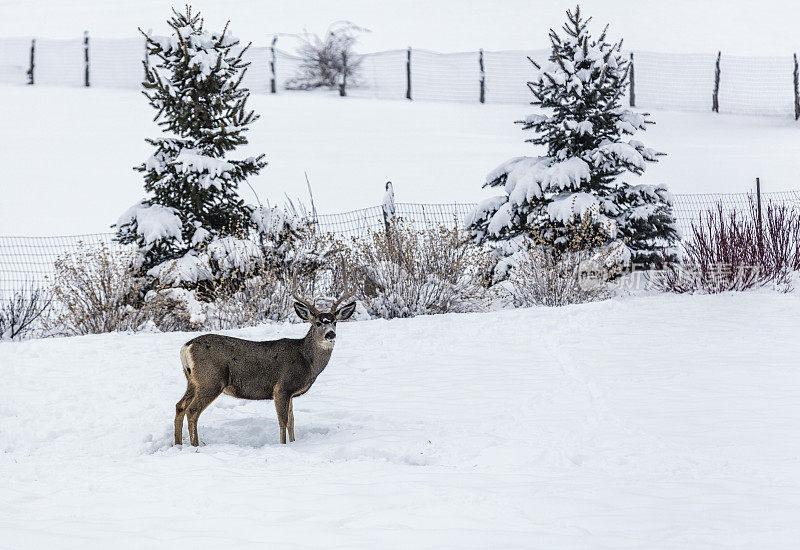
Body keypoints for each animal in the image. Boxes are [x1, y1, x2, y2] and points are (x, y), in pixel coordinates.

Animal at [174, 276, 356, 448]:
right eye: (318, 323)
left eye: (335, 322)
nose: (330, 334)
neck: (306, 360)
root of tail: (186, 347)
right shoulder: (282, 388)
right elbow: (283, 421)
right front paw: (283, 445)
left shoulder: (290, 393)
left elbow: (292, 421)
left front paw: (294, 442)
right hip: (211, 380)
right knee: (192, 411)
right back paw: (195, 446)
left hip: (193, 381)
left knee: (180, 406)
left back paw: (178, 444)